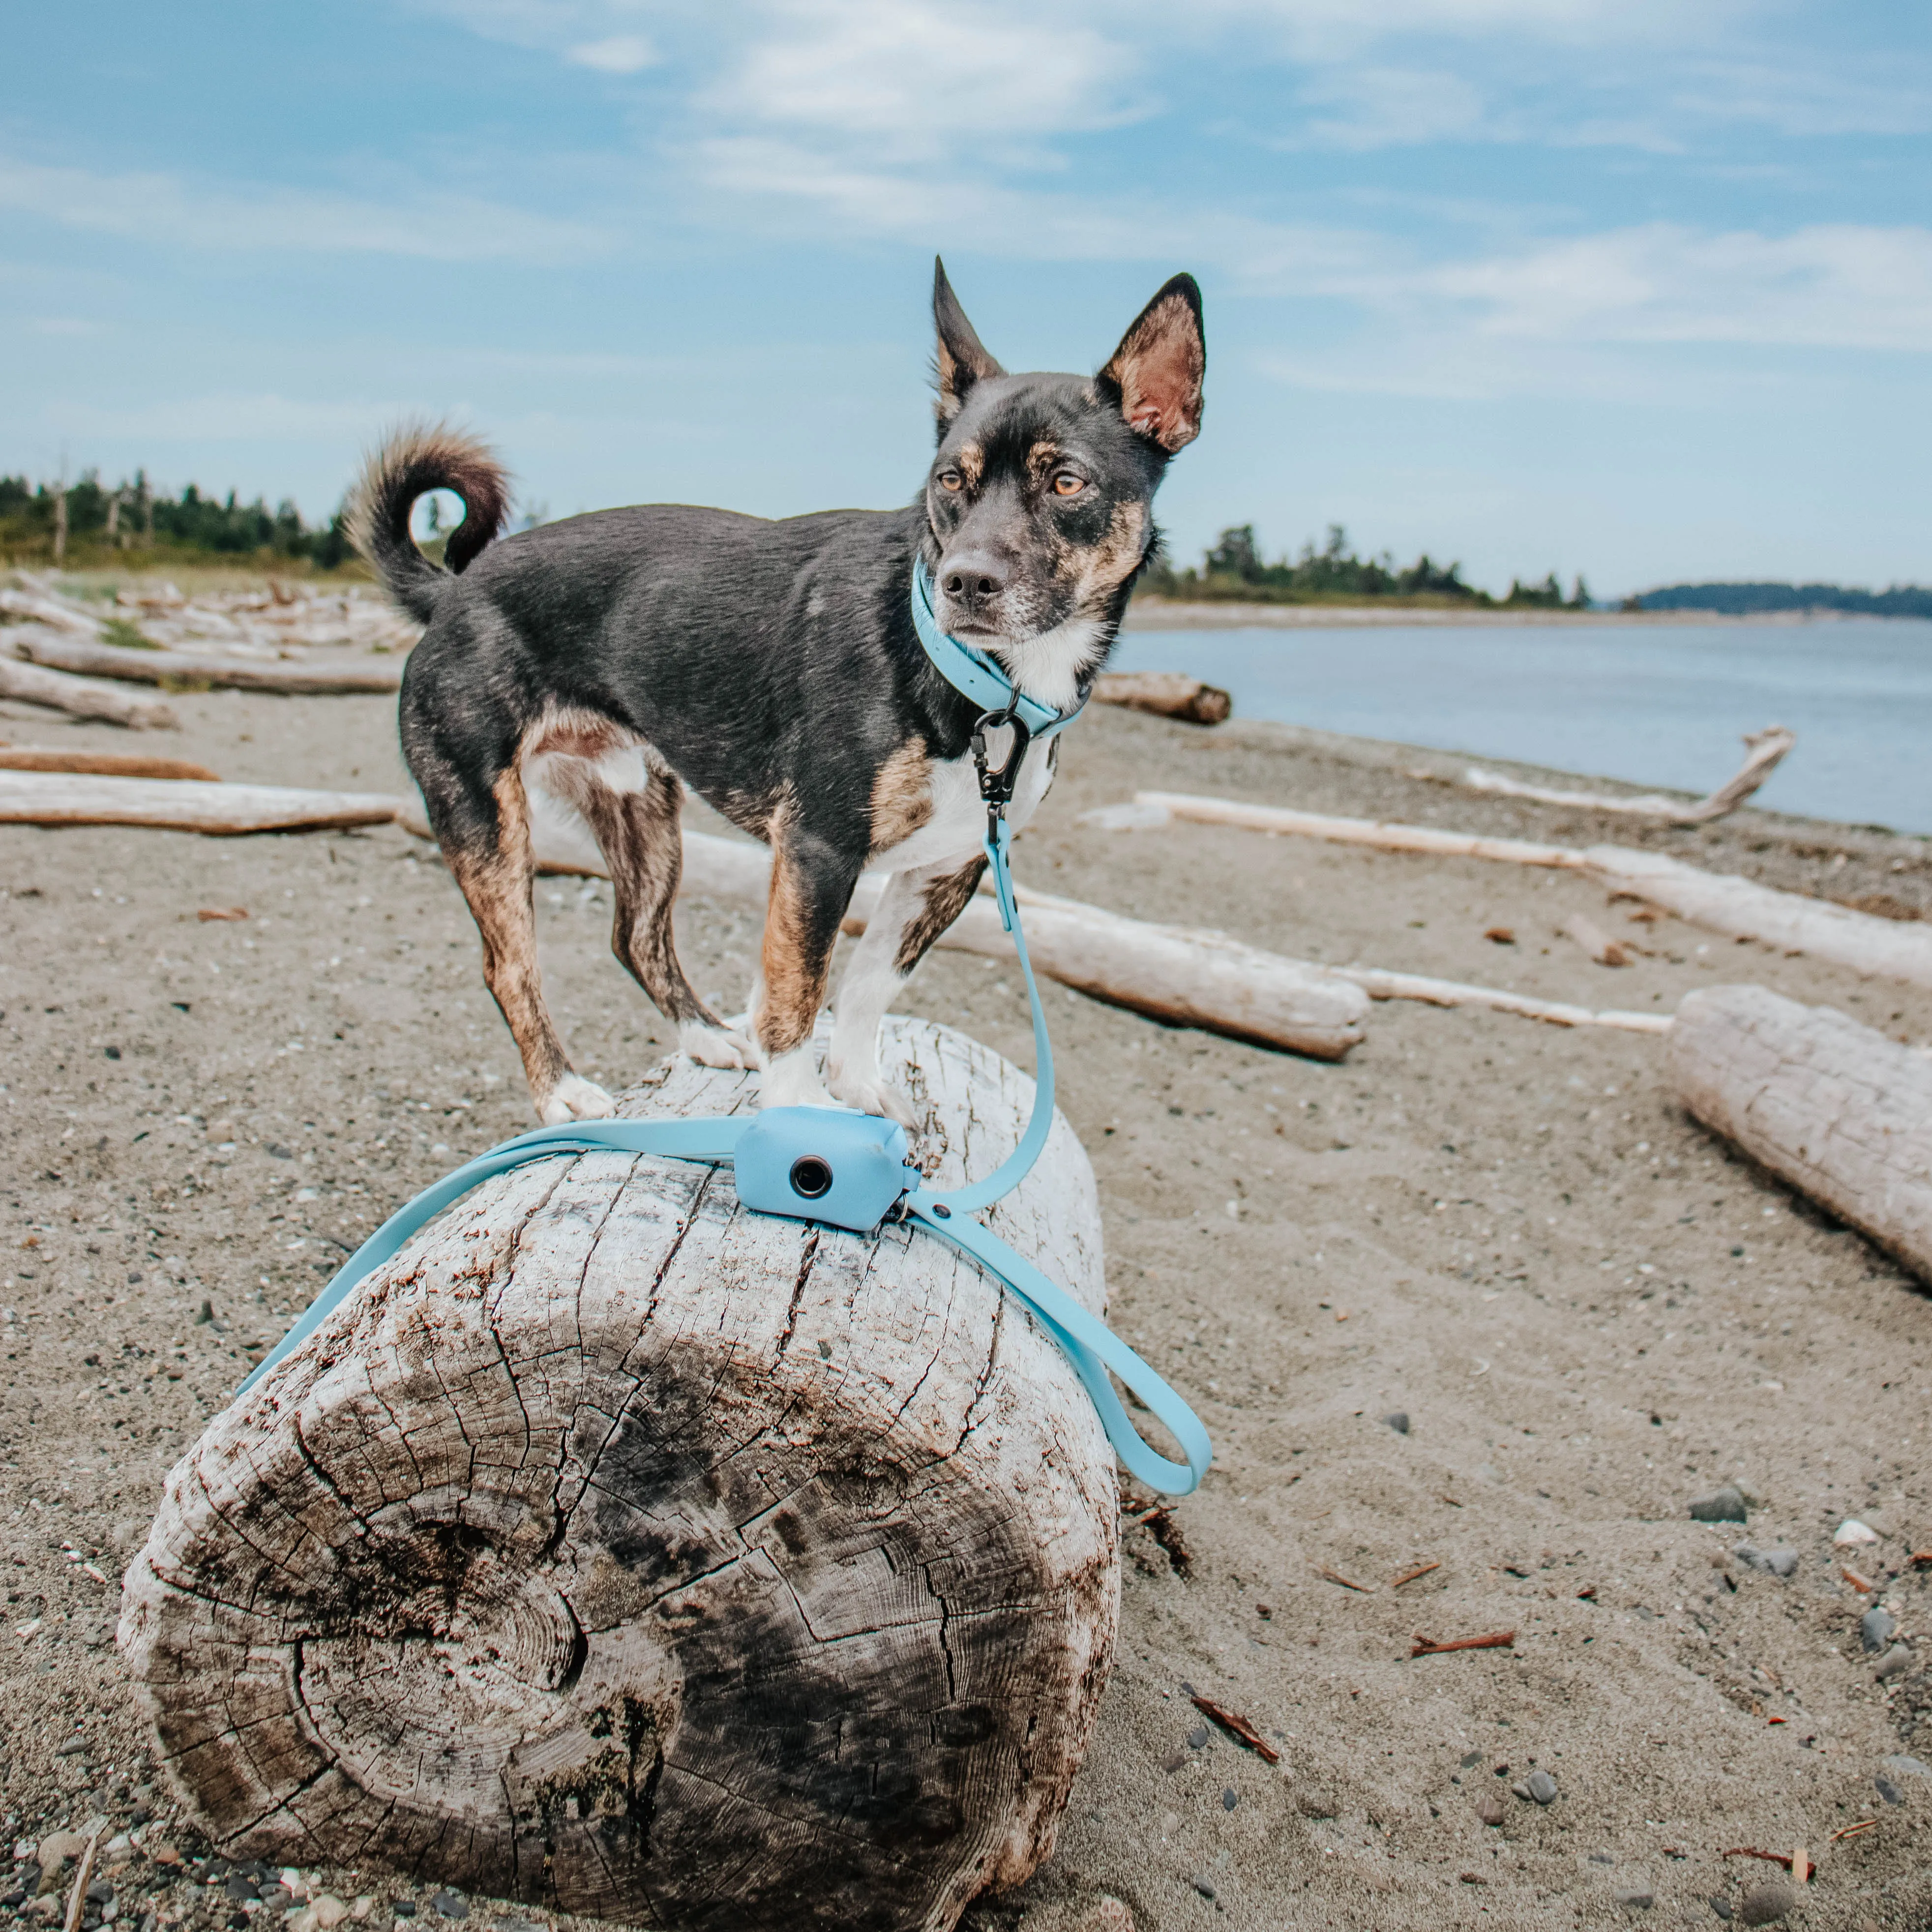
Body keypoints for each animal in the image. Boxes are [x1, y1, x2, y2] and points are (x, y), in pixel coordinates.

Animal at [346, 259, 1190, 1128]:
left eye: (1066, 482)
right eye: (950, 480)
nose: (965, 581)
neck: (982, 678)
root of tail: (454, 590)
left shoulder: (946, 866)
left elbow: (867, 984)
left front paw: (856, 1083)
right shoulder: (816, 850)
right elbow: (797, 994)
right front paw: (798, 1109)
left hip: (639, 808)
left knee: (635, 937)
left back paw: (707, 1037)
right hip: (485, 819)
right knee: (509, 966)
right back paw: (562, 1092)